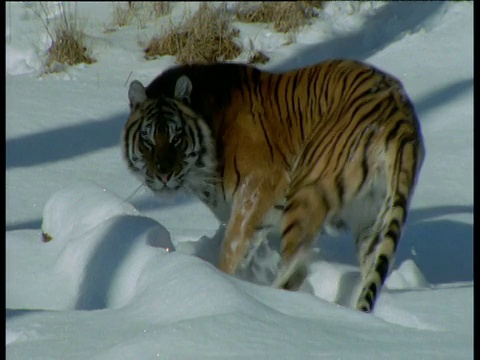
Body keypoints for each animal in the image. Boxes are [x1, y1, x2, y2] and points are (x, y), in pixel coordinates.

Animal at [123, 59, 424, 312]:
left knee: (296, 268)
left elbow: (233, 246)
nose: (163, 174)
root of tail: (399, 115)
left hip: (306, 189)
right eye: (148, 140)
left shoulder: (257, 187)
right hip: (373, 216)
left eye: (177, 138)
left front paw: (224, 281)